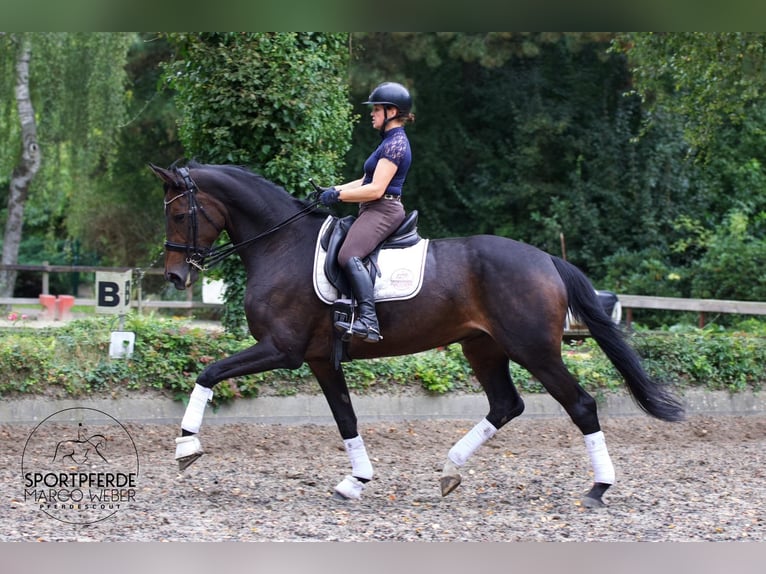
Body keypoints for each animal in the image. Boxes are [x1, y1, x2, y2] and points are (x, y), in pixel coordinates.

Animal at [152, 161, 684, 508]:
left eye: (178, 214)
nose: (176, 276)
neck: (282, 246)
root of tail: (546, 259)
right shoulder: (321, 359)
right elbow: (345, 418)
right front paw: (356, 481)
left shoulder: (281, 350)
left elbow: (208, 372)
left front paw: (186, 448)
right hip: (482, 347)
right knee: (505, 404)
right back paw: (449, 470)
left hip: (534, 350)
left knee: (581, 405)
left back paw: (599, 488)